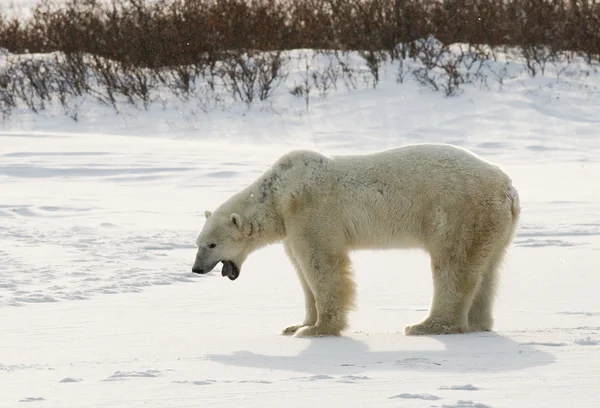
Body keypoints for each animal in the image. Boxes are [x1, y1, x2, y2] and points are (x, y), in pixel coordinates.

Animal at [192, 143, 520, 338]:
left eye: (211, 245)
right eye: (197, 243)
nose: (196, 269)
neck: (278, 195)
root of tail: (508, 189)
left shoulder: (310, 210)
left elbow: (322, 263)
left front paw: (319, 329)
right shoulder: (290, 226)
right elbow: (301, 270)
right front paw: (297, 324)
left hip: (457, 213)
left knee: (453, 264)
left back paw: (427, 325)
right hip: (493, 224)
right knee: (487, 267)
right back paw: (477, 323)